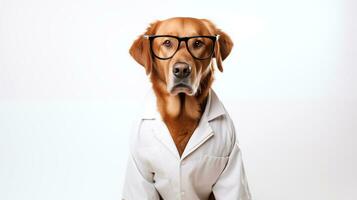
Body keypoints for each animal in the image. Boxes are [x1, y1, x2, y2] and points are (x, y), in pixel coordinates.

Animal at [121, 17, 249, 200]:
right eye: (167, 42)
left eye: (198, 43)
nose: (181, 70)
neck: (181, 116)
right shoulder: (140, 170)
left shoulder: (231, 164)